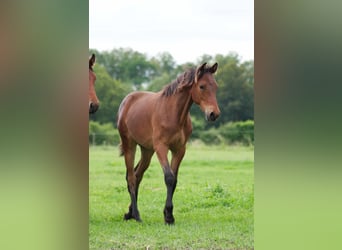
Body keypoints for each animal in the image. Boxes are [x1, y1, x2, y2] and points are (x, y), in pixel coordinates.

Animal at [117, 62, 219, 225]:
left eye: (215, 86)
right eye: (202, 86)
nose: (213, 114)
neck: (174, 114)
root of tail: (127, 101)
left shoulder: (179, 150)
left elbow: (175, 179)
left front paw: (168, 214)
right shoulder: (161, 148)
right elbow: (169, 178)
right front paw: (169, 216)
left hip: (147, 150)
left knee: (137, 174)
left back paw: (130, 213)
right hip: (130, 145)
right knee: (131, 177)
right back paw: (137, 215)